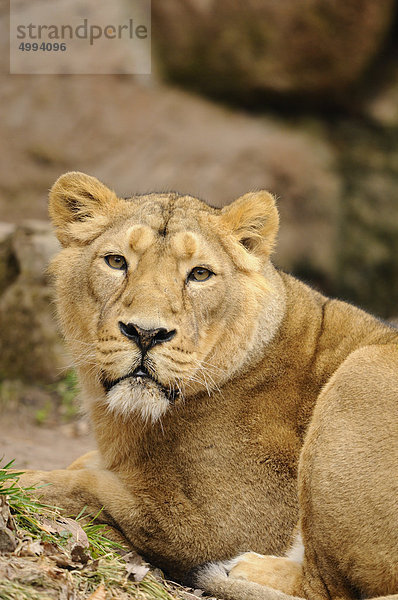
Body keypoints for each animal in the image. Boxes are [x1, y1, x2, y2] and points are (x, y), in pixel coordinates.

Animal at [18, 170, 398, 600]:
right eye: (116, 262)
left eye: (200, 273)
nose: (145, 333)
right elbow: (83, 467)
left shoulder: (225, 524)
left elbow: (83, 486)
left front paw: (22, 481)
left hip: (363, 369)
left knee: (324, 587)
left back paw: (242, 569)